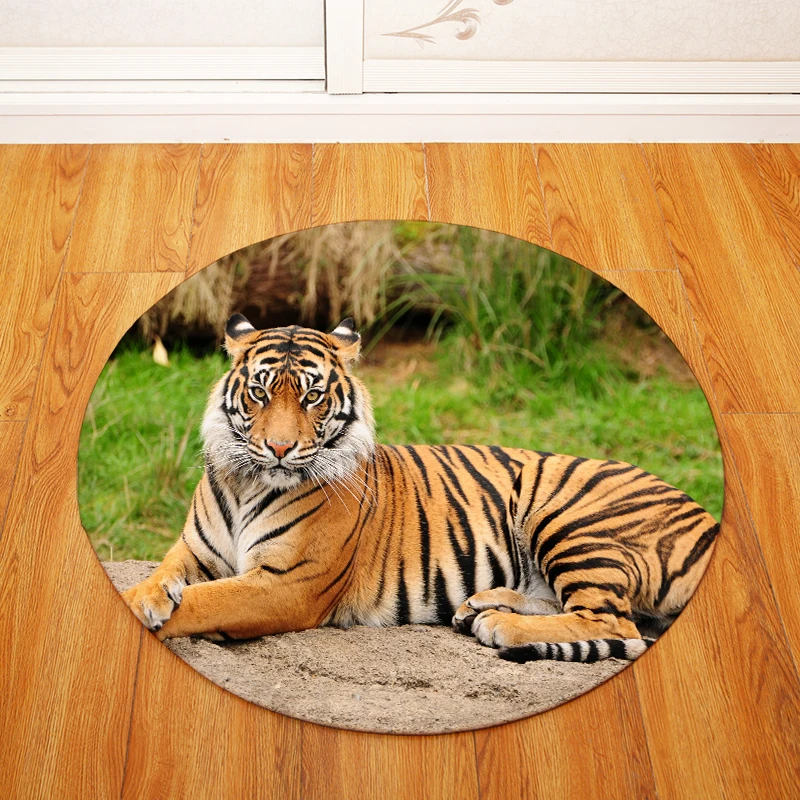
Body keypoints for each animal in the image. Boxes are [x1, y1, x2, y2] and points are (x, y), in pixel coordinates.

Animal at [121, 314, 719, 663]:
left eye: (312, 397)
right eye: (260, 394)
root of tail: (710, 518)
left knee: (613, 619)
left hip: (567, 515)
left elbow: (206, 602)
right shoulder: (195, 551)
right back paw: (482, 604)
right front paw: (142, 597)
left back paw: (497, 623)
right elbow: (165, 575)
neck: (248, 481)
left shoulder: (287, 584)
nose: (280, 449)